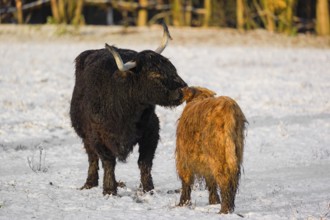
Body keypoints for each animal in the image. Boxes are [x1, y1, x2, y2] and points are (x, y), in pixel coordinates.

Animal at [70, 24, 187, 195]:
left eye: (172, 68)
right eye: (155, 74)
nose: (183, 89)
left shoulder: (151, 132)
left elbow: (145, 162)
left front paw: (148, 189)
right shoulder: (97, 135)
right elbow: (108, 161)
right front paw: (109, 190)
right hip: (85, 135)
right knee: (92, 157)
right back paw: (90, 183)